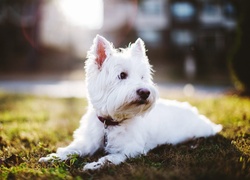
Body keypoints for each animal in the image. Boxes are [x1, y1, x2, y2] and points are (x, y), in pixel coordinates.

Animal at [39, 34, 223, 170]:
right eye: (122, 75)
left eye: (142, 77)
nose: (145, 92)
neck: (111, 123)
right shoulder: (88, 141)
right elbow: (72, 149)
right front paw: (53, 157)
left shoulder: (131, 149)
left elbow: (110, 157)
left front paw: (94, 165)